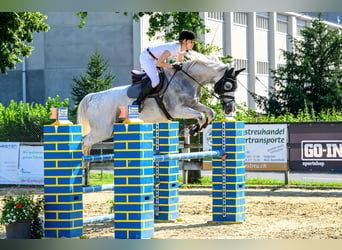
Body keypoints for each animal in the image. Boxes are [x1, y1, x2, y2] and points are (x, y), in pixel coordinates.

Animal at [77, 53, 243, 159]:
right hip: (103, 130)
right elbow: (200, 116)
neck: (187, 79)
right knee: (84, 141)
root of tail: (92, 97)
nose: (230, 109)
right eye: (228, 86)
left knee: (86, 143)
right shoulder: (177, 110)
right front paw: (191, 130)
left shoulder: (193, 104)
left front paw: (195, 129)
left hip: (109, 129)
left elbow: (209, 112)